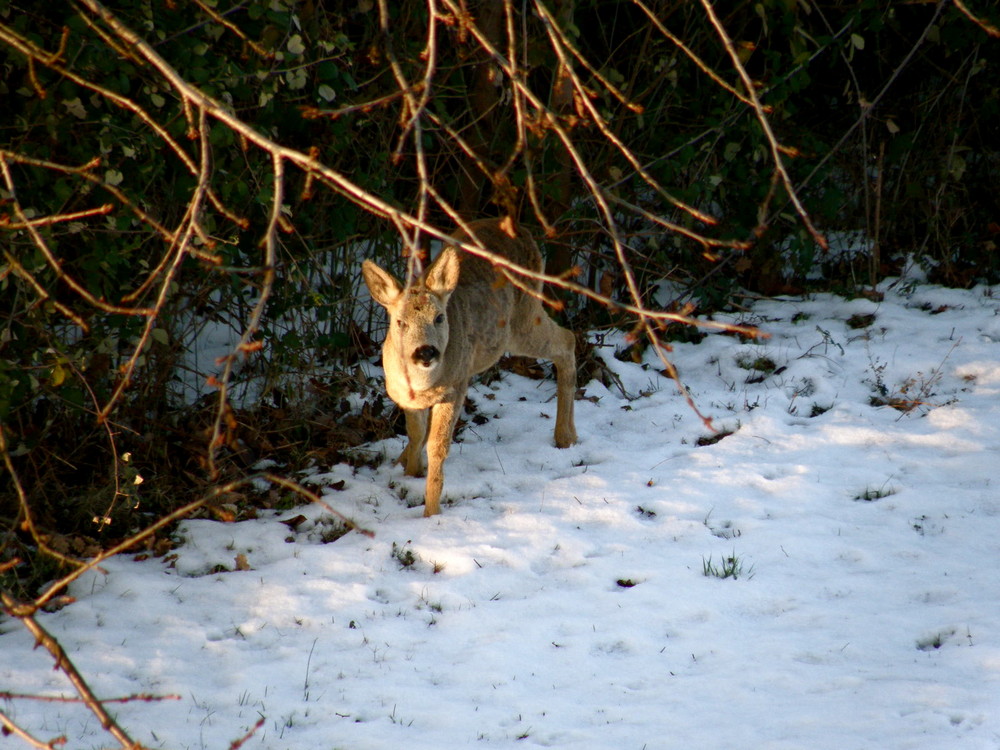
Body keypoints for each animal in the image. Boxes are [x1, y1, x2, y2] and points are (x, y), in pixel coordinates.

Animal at [364, 217, 576, 516]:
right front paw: (410, 471)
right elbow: (416, 434)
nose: (426, 352)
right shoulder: (407, 399)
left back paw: (564, 438)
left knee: (567, 340)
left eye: (440, 317)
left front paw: (431, 512)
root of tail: (519, 229)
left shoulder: (456, 387)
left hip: (523, 319)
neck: (421, 385)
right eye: (399, 322)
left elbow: (437, 446)